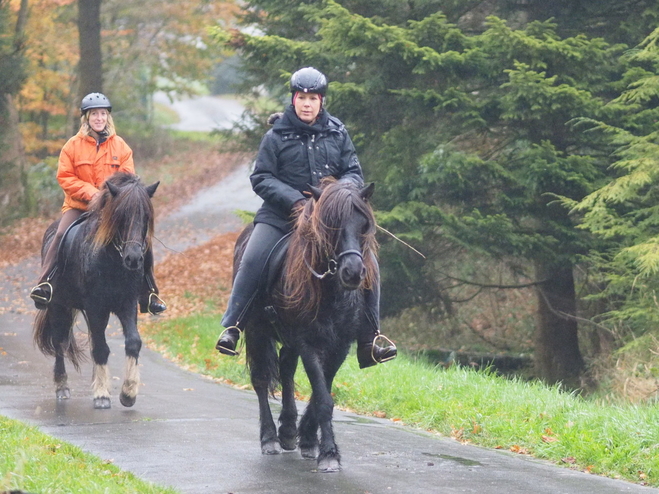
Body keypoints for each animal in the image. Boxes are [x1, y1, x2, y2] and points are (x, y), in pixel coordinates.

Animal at [34, 173, 160, 410]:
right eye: (120, 216)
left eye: (147, 216)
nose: (134, 259)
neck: (113, 261)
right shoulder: (95, 306)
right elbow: (101, 348)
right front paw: (101, 394)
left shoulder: (127, 304)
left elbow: (133, 341)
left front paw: (128, 392)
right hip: (58, 306)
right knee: (60, 342)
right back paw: (62, 386)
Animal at [237, 178, 376, 470]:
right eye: (330, 225)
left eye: (363, 225)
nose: (353, 273)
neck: (331, 291)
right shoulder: (307, 342)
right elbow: (323, 397)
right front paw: (329, 454)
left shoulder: (340, 345)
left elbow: (321, 390)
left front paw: (310, 440)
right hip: (257, 330)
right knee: (261, 379)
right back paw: (270, 438)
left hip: (288, 340)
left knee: (286, 368)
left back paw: (289, 431)